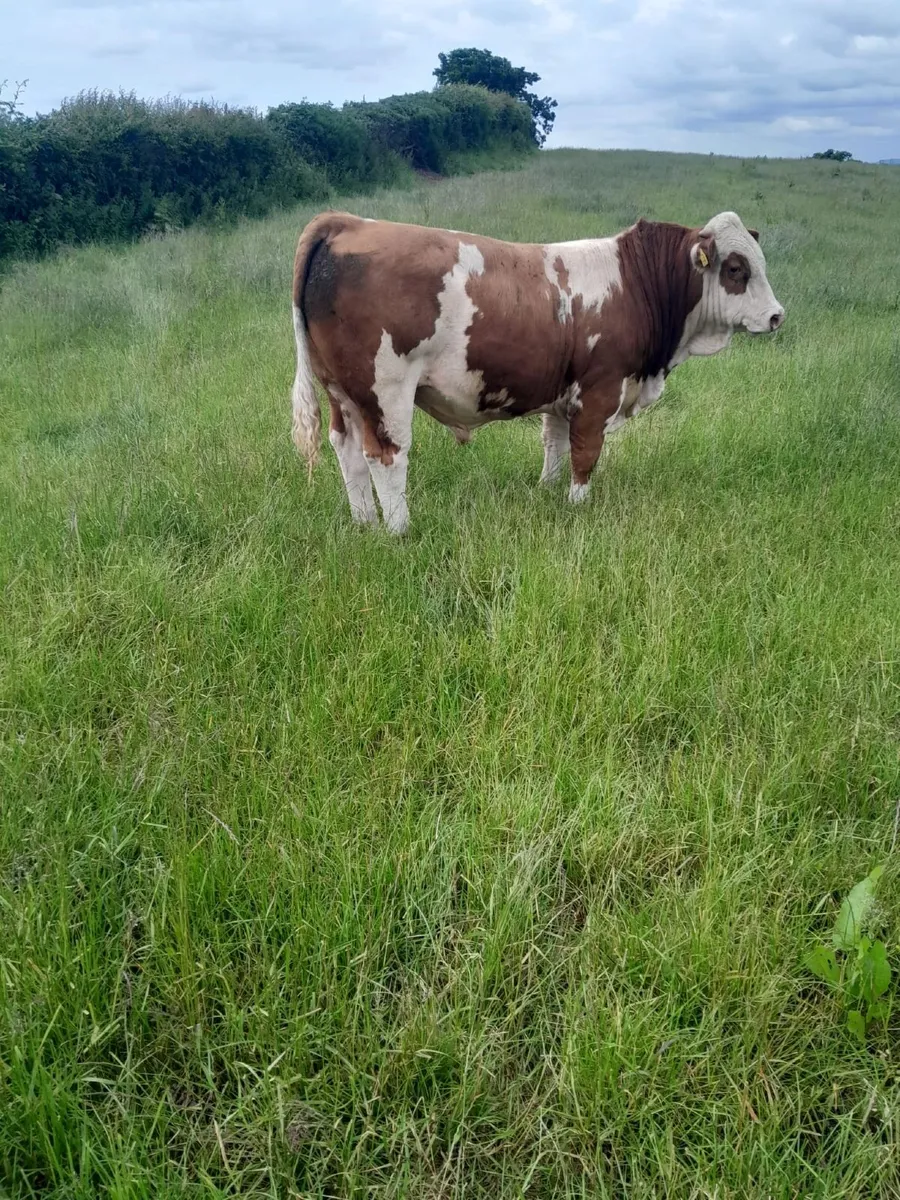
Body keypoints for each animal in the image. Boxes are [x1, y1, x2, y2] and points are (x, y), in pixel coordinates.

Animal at [289, 209, 784, 532]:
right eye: (735, 268)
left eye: (760, 262)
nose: (778, 316)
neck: (635, 282)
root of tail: (345, 221)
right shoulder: (600, 389)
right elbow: (586, 452)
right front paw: (579, 505)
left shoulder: (563, 394)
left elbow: (555, 444)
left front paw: (548, 494)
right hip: (384, 390)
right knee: (386, 455)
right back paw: (398, 530)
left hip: (342, 392)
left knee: (347, 451)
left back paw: (364, 523)